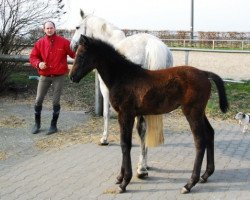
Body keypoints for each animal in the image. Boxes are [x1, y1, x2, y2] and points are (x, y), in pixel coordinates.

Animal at [69, 10, 173, 177]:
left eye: (77, 27)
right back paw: (145, 164)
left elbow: (106, 113)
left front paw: (104, 139)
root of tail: (151, 45)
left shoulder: (106, 90)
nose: (72, 45)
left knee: (142, 128)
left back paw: (141, 168)